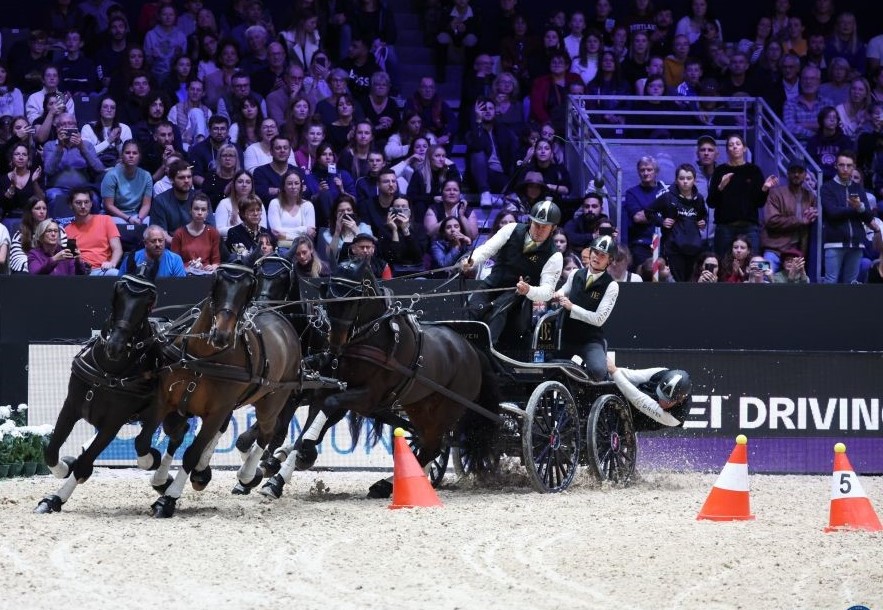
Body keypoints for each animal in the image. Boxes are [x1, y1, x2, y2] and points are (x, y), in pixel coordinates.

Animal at [34, 272, 165, 512]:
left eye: (148, 303)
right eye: (118, 294)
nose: (115, 346)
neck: (107, 371)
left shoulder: (113, 422)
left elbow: (85, 463)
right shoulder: (70, 406)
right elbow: (51, 452)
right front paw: (64, 469)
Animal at [148, 264, 304, 516]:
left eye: (246, 292)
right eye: (218, 286)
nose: (221, 334)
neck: (203, 358)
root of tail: (282, 321)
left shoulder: (216, 411)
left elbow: (192, 451)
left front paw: (168, 499)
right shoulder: (174, 402)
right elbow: (175, 435)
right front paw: (164, 479)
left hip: (273, 399)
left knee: (267, 432)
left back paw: (248, 474)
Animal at [260, 256, 504, 498]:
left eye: (354, 298)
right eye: (328, 293)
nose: (335, 340)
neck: (370, 338)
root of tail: (471, 348)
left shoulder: (365, 397)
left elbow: (315, 420)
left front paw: (299, 454)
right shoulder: (322, 391)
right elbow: (301, 428)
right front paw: (276, 475)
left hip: (447, 410)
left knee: (433, 447)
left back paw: (387, 485)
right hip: (420, 406)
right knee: (424, 441)